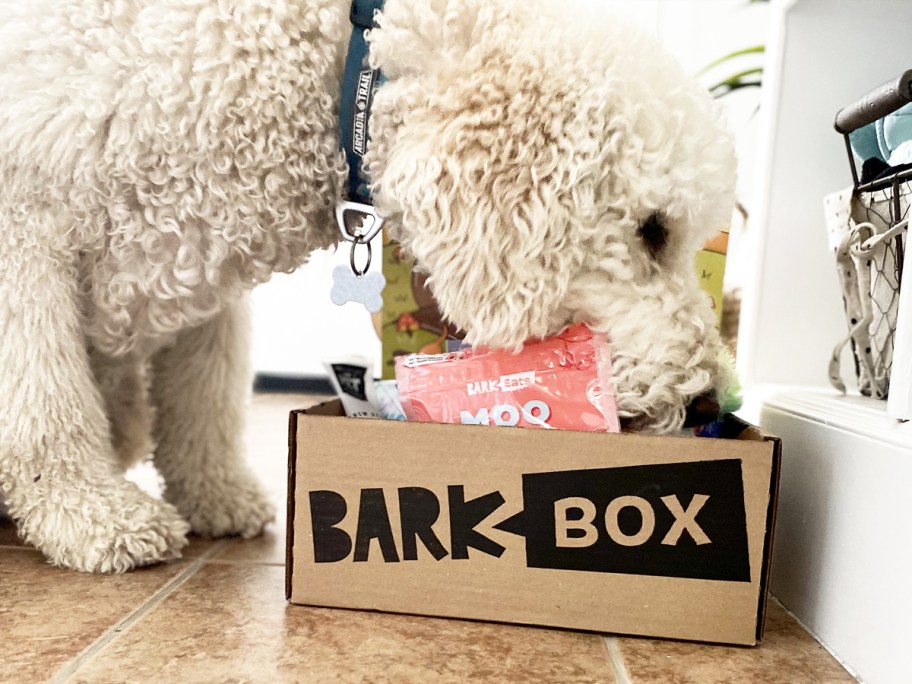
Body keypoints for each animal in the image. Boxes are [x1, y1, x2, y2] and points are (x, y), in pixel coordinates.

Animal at [0, 0, 736, 572]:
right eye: (653, 230)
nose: (706, 402)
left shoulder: (204, 277)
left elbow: (205, 404)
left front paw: (216, 494)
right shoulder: (23, 241)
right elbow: (47, 406)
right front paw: (92, 516)